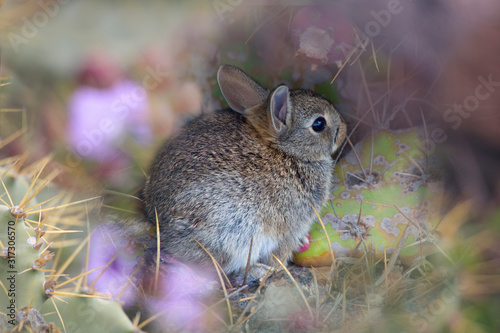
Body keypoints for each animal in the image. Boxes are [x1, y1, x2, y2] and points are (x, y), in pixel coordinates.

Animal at [143, 65, 346, 274]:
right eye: (319, 124)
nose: (345, 130)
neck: (287, 151)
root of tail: (159, 225)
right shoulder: (291, 225)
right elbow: (282, 249)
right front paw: (278, 266)